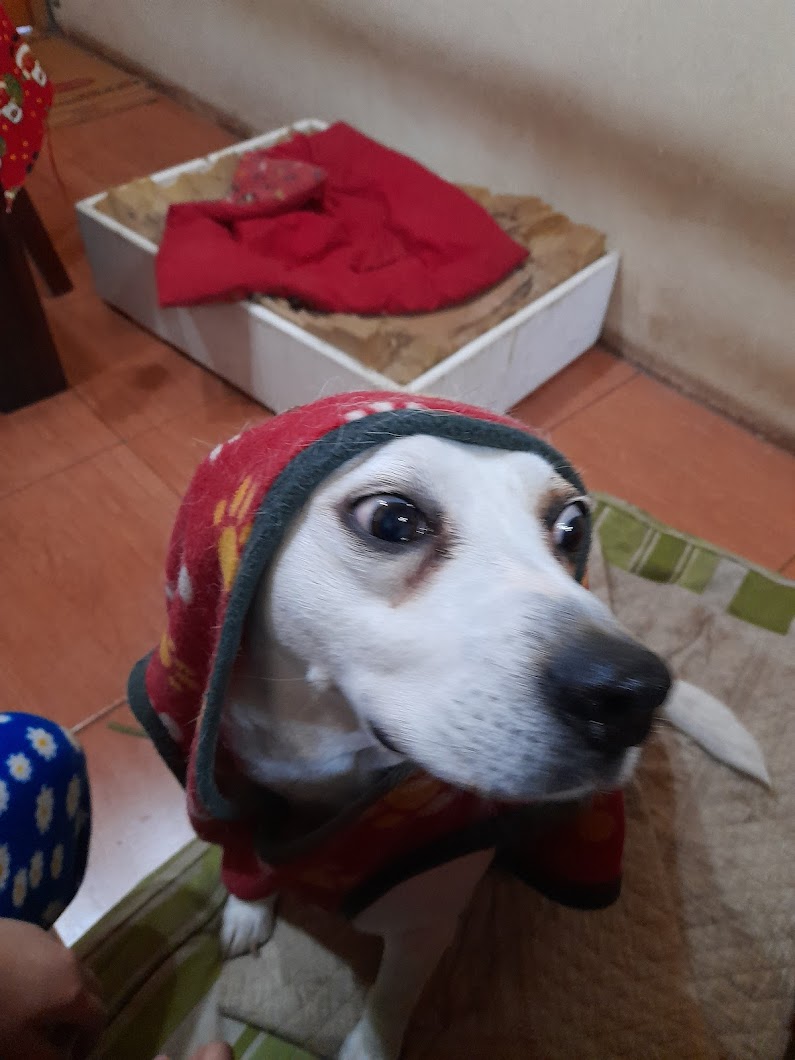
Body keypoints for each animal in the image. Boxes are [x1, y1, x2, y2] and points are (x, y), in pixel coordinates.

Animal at [129, 393, 768, 1060]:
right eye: (392, 520)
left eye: (572, 526)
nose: (631, 693)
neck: (326, 755)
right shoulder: (228, 790)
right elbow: (244, 862)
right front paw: (247, 910)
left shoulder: (423, 923)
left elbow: (387, 1005)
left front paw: (367, 1047)